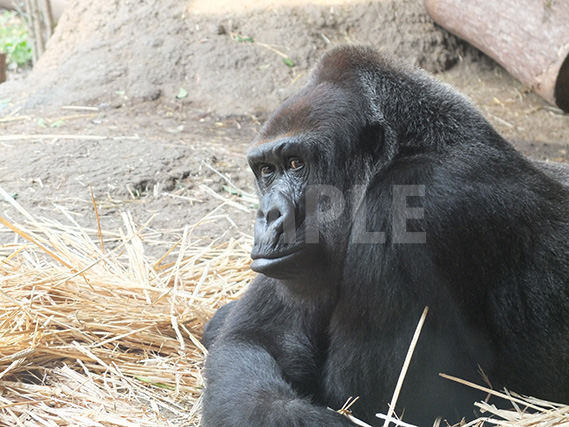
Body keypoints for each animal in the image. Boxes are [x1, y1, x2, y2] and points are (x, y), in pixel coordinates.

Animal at [200, 45, 568, 426]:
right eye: (267, 171)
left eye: (296, 164)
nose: (268, 215)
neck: (404, 151)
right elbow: (252, 342)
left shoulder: (404, 210)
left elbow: (367, 403)